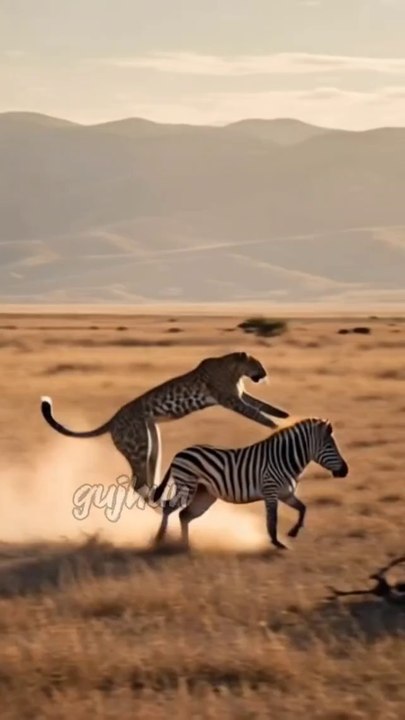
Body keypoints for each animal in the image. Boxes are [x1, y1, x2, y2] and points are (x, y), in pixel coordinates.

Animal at [151, 417, 348, 550]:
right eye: (330, 446)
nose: (345, 471)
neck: (284, 459)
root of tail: (180, 452)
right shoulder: (271, 491)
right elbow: (272, 520)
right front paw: (277, 543)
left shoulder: (286, 493)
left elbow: (303, 508)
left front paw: (293, 532)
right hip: (187, 486)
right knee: (168, 507)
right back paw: (159, 539)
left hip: (204, 494)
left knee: (184, 515)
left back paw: (185, 544)